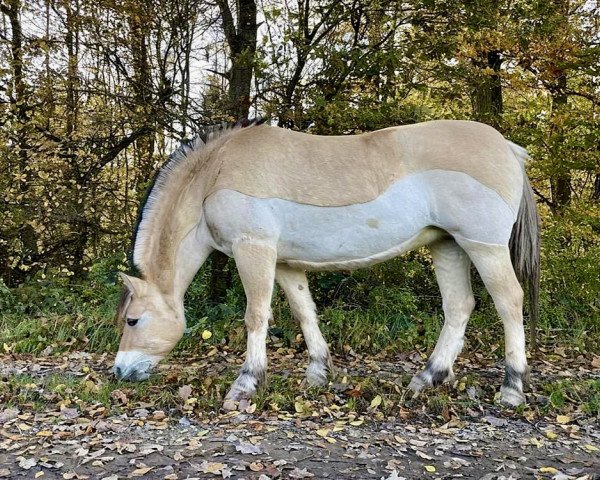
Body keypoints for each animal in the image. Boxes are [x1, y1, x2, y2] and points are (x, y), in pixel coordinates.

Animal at [112, 119, 540, 408]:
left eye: (133, 320)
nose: (119, 371)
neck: (216, 172)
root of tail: (507, 147)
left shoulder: (255, 251)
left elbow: (256, 316)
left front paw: (246, 384)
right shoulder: (285, 263)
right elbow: (304, 312)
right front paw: (318, 373)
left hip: (483, 247)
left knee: (509, 302)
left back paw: (511, 388)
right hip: (447, 246)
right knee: (459, 306)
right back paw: (428, 377)